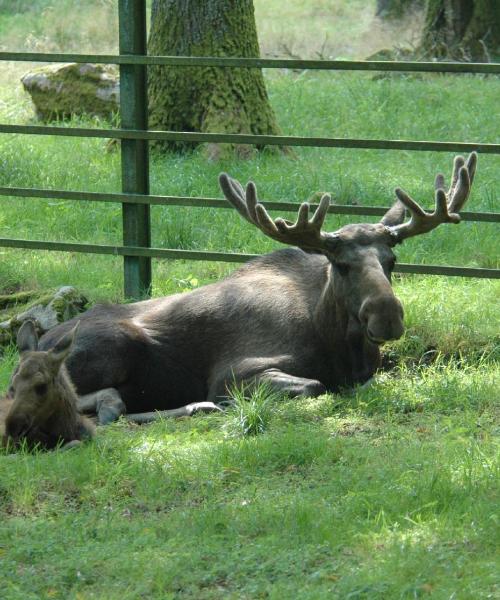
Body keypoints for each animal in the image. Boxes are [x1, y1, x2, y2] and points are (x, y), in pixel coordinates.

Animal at [3, 151, 478, 432]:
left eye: (391, 261)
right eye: (341, 264)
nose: (388, 317)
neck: (335, 340)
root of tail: (39, 339)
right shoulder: (235, 373)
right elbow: (315, 386)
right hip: (113, 345)